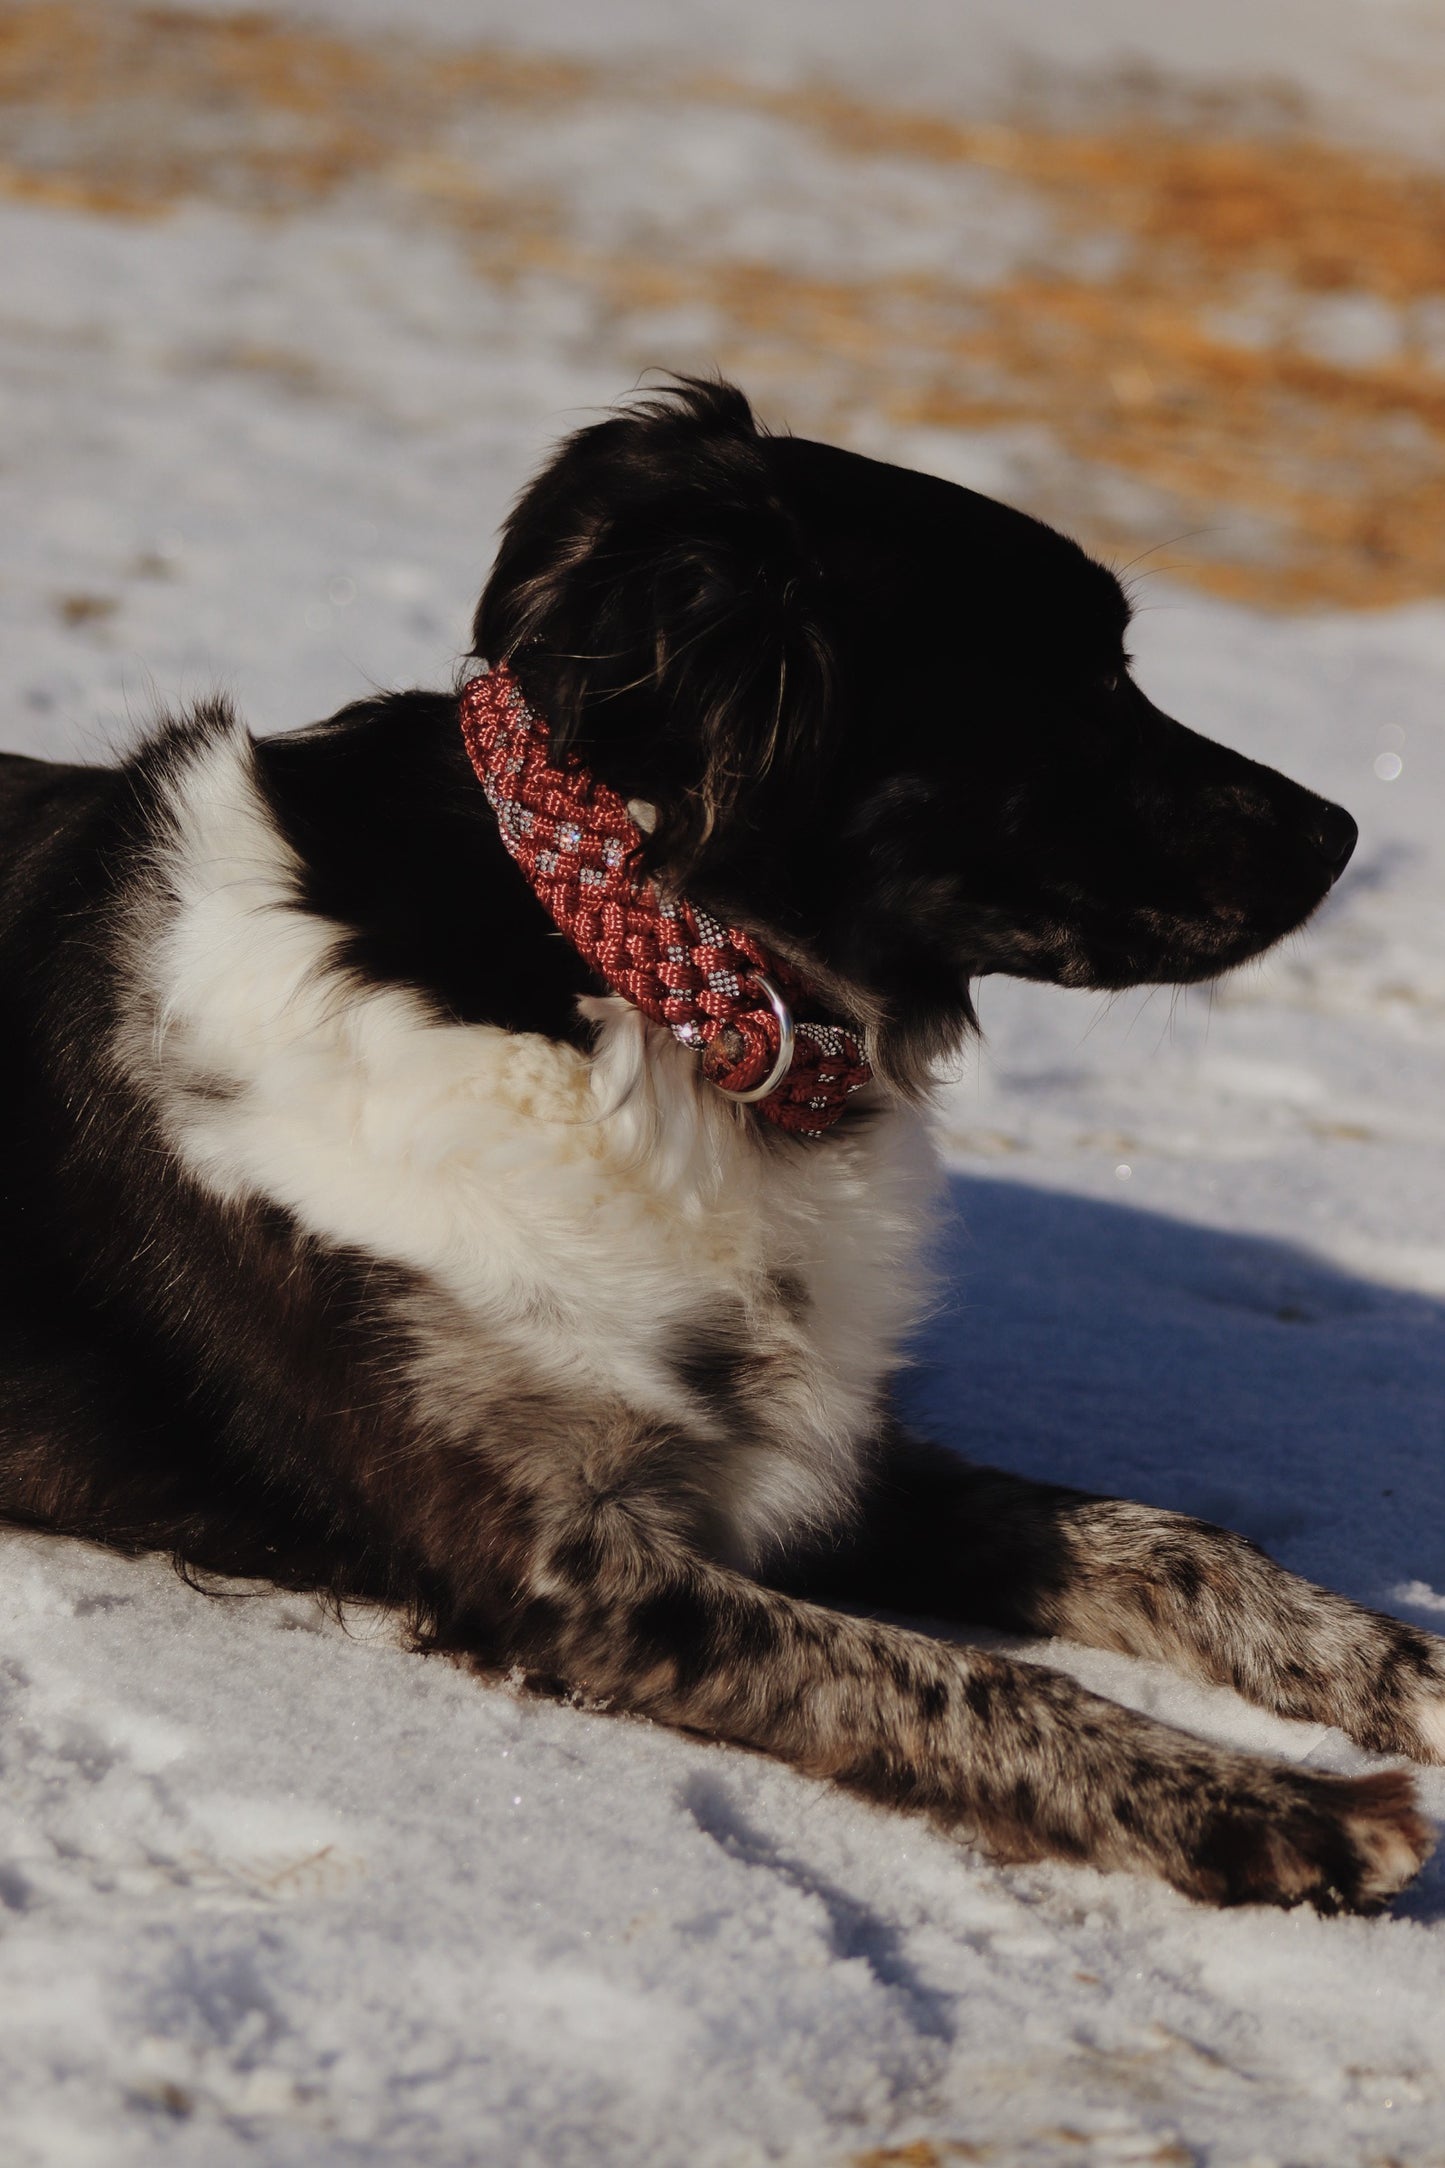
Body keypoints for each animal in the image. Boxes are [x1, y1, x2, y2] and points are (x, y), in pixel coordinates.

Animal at [2, 381, 1445, 1907]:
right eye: (1085, 682)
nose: (1344, 832)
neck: (653, 1003)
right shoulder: (563, 1563)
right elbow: (962, 1684)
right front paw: (1275, 1807)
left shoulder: (812, 1450)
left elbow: (1174, 1543)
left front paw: (1401, 1671)